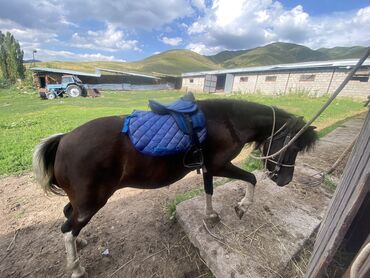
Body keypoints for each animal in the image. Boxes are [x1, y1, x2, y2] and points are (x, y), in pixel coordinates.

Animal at [31, 96, 316, 276]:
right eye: (293, 146)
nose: (285, 180)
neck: (227, 121)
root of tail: (64, 139)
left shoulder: (208, 167)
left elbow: (209, 190)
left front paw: (210, 215)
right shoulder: (220, 166)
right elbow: (252, 179)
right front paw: (243, 206)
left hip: (82, 201)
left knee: (69, 217)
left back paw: (79, 245)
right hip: (92, 200)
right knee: (68, 228)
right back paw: (76, 268)